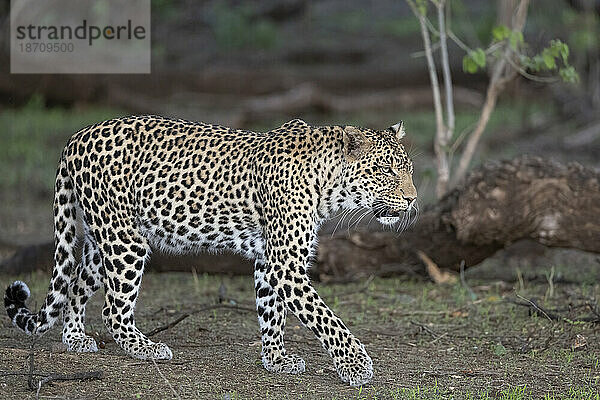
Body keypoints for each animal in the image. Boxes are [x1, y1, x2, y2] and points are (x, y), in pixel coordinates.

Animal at [4, 115, 418, 384]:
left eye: (409, 170)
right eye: (386, 171)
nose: (413, 200)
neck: (329, 186)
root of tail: (76, 136)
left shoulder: (269, 258)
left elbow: (272, 312)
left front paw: (275, 359)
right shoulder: (286, 263)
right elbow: (325, 318)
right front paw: (355, 365)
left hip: (103, 238)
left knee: (76, 282)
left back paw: (75, 338)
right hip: (126, 241)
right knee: (112, 310)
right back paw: (147, 349)